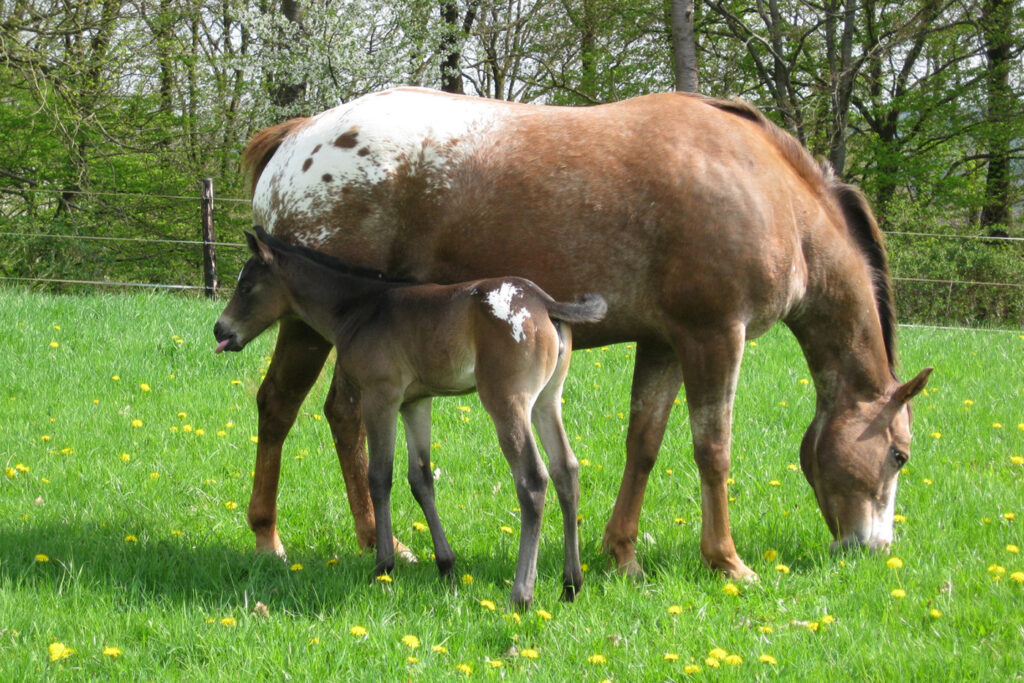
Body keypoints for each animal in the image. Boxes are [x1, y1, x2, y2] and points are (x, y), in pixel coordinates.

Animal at [211, 227, 602, 606]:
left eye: (246, 287)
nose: (220, 329)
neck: (363, 309)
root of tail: (544, 303)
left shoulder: (380, 397)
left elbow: (380, 476)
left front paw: (383, 566)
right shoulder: (416, 402)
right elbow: (421, 479)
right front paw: (446, 567)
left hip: (507, 402)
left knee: (532, 479)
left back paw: (521, 595)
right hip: (547, 401)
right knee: (566, 470)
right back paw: (571, 585)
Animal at [237, 83, 929, 577]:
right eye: (899, 454)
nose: (873, 549)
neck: (766, 188)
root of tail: (298, 135)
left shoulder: (663, 343)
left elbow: (643, 444)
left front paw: (622, 553)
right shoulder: (713, 337)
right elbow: (713, 450)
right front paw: (727, 561)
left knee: (342, 416)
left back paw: (372, 540)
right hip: (303, 325)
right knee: (279, 408)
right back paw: (268, 538)